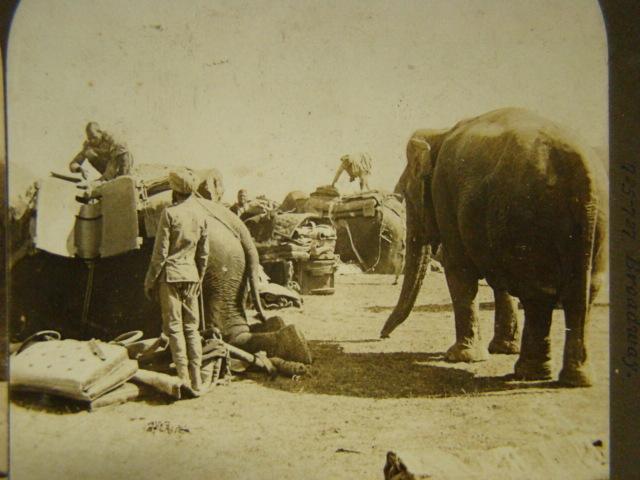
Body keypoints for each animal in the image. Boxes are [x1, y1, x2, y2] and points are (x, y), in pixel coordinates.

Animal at [380, 108, 608, 386]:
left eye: (405, 196)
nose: (382, 336)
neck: (439, 132)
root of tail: (581, 166)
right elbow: (498, 278)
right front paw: (501, 349)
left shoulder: (444, 193)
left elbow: (459, 269)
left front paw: (460, 357)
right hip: (593, 224)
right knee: (584, 293)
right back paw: (574, 380)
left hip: (528, 218)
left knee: (538, 292)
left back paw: (528, 373)